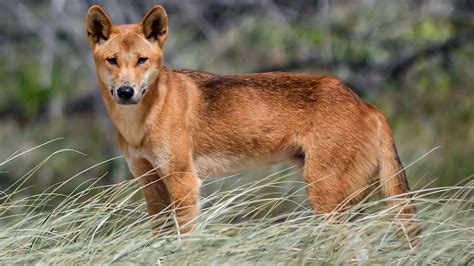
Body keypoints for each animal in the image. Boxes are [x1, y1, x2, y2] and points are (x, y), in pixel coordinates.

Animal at [85, 4, 418, 240]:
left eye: (142, 60)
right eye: (112, 61)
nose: (126, 91)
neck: (140, 124)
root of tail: (367, 105)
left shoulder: (184, 182)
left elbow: (184, 241)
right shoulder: (150, 183)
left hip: (325, 197)